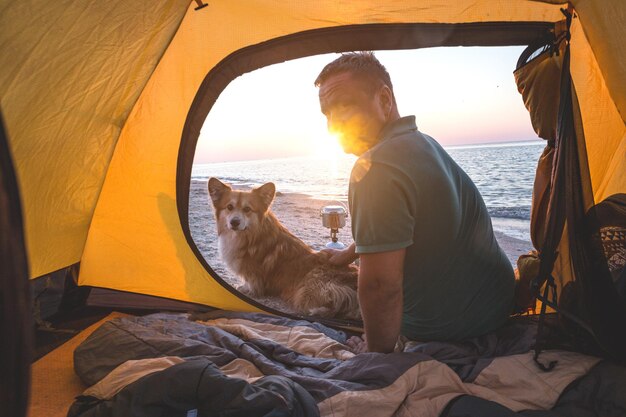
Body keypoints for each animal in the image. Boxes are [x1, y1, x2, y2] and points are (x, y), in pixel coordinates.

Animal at [207, 176, 358, 318]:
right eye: (229, 207)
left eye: (247, 209)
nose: (234, 222)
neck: (251, 235)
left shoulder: (253, 273)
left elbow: (252, 283)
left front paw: (246, 289)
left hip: (306, 291)